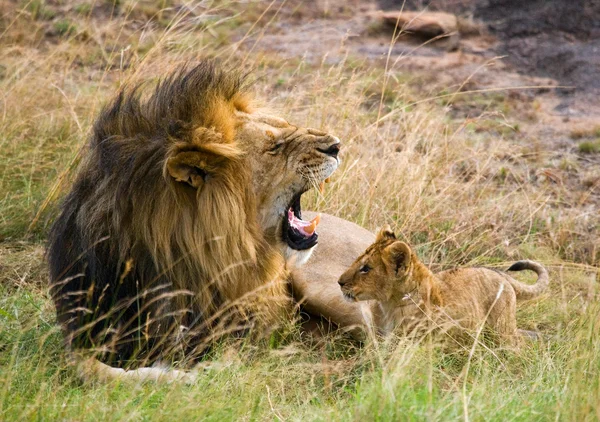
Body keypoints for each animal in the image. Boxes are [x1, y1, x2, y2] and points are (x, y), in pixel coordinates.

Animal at [47, 63, 342, 382]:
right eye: (275, 146)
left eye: (287, 124)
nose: (336, 146)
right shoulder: (82, 333)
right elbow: (95, 368)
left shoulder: (243, 326)